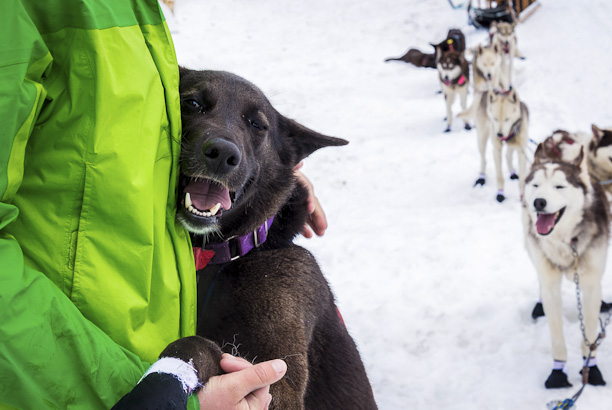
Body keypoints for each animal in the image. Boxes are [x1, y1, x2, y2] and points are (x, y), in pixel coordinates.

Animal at [172, 69, 378, 408]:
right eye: (192, 103)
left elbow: (194, 345)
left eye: (257, 124)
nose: (223, 154)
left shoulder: (279, 381)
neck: (222, 256)